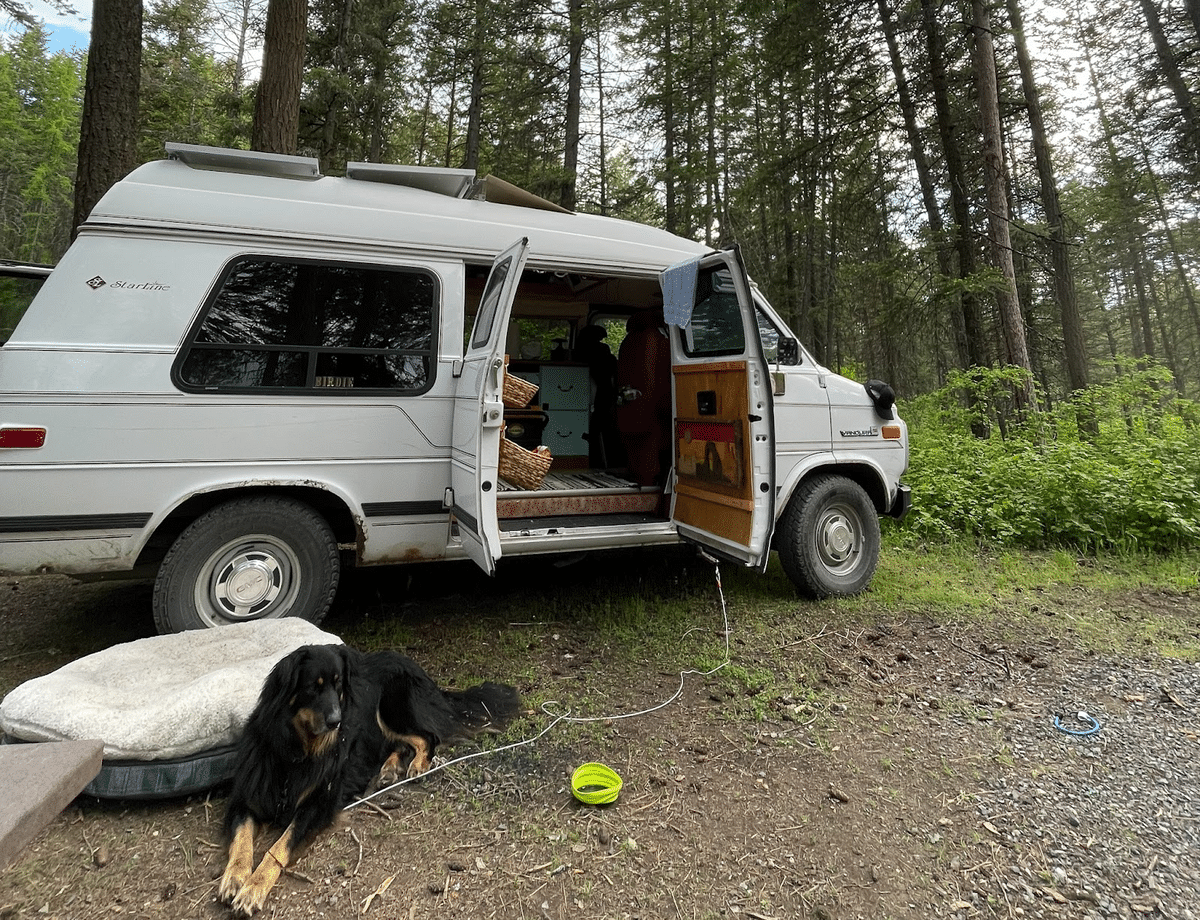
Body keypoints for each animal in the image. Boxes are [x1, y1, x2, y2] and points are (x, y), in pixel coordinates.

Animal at [218, 642, 518, 916]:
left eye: (338, 685)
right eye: (313, 686)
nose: (337, 721)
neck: (297, 750)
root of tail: (419, 670)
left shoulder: (317, 806)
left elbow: (278, 847)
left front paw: (253, 889)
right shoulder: (247, 798)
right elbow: (241, 842)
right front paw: (234, 878)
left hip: (390, 708)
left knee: (427, 736)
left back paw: (418, 766)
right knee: (400, 743)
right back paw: (388, 770)